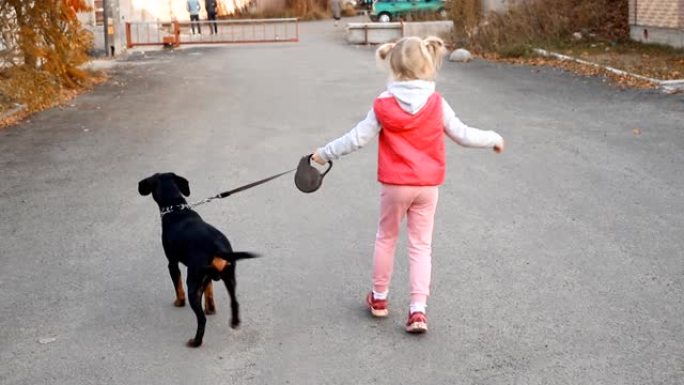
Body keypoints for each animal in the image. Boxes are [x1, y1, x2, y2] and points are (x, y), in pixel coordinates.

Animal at [138, 172, 258, 346]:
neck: (176, 209)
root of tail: (217, 248)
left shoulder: (172, 264)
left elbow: (178, 286)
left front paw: (179, 302)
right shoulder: (206, 278)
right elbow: (209, 291)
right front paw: (210, 308)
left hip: (193, 285)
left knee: (201, 319)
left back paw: (195, 342)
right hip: (229, 278)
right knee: (234, 302)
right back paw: (234, 322)